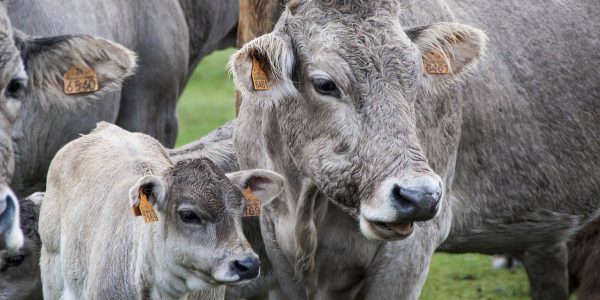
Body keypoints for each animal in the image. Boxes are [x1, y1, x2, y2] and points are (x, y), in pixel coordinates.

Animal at [230, 0, 600, 300]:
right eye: (324, 84)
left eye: (415, 78)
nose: (419, 197)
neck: (306, 207)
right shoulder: (278, 249)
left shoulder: (409, 254)